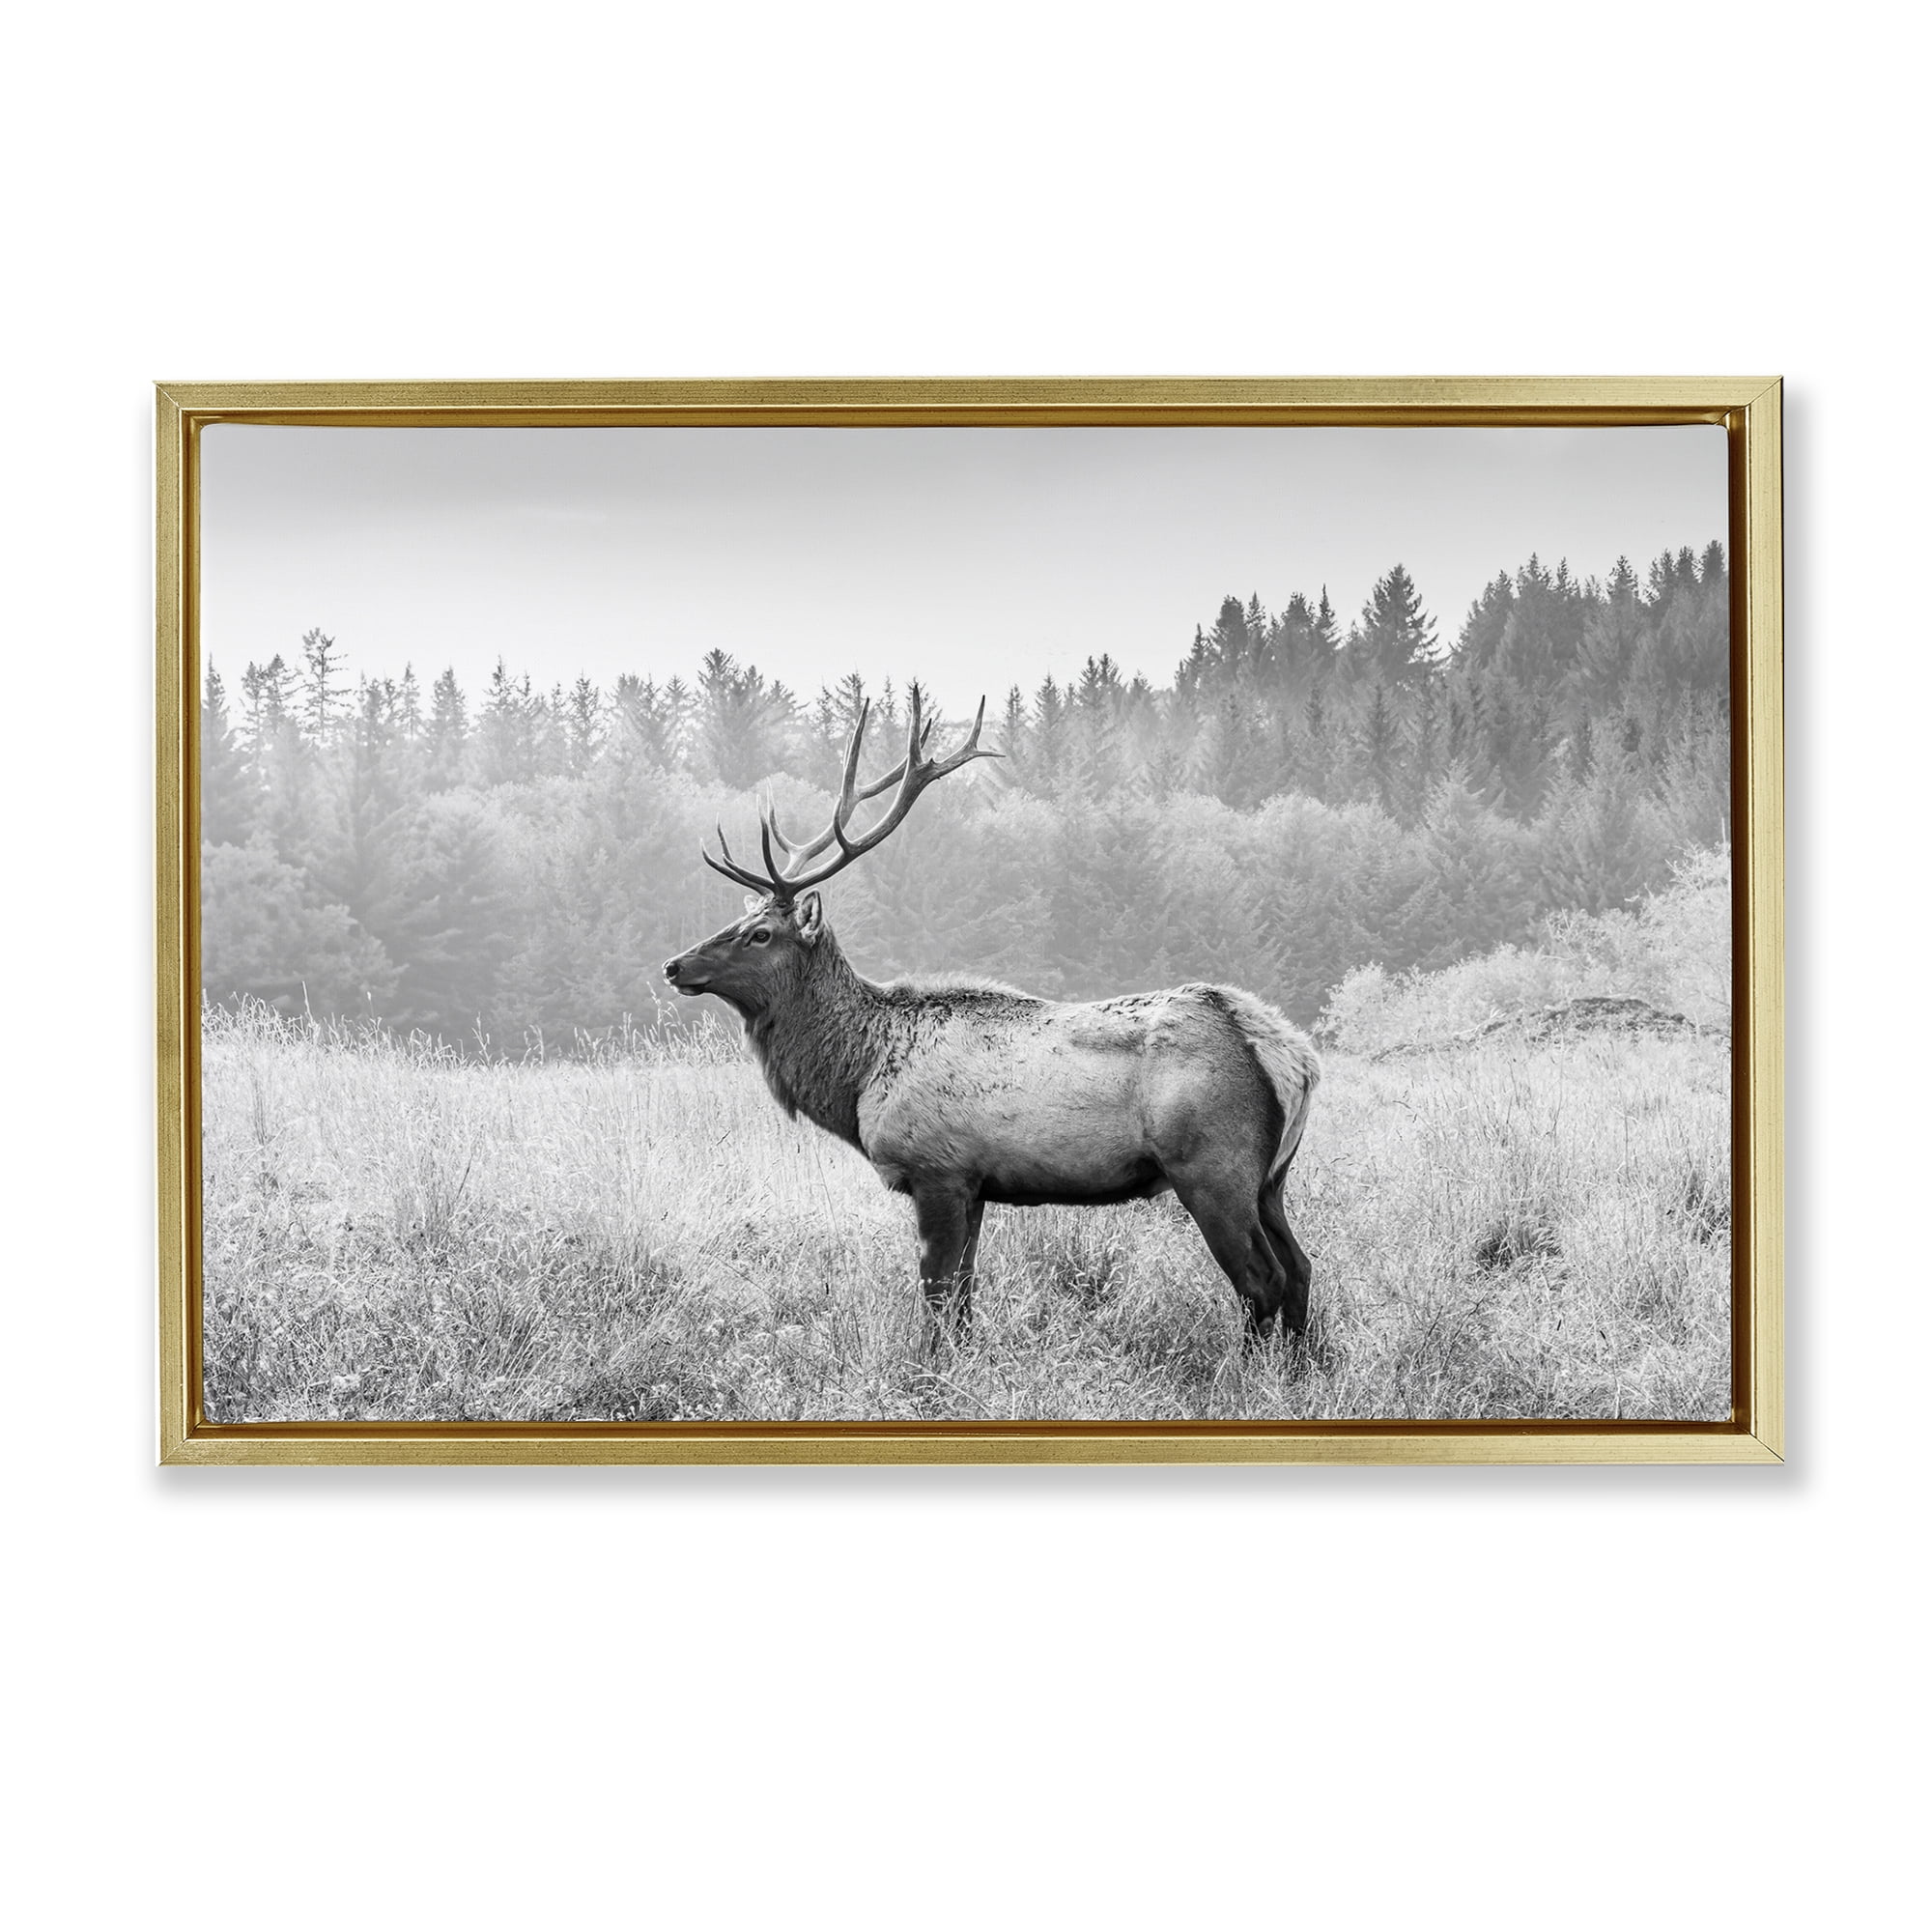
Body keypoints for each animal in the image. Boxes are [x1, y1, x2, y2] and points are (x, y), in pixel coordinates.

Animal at [662, 688, 1320, 1350]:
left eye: (760, 934)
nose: (674, 965)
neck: (860, 1077)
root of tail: (1292, 1057)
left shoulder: (938, 1170)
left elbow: (936, 1295)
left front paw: (930, 1367)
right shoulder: (975, 1184)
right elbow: (963, 1298)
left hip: (1213, 1166)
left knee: (1261, 1279)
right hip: (1270, 1179)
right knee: (1300, 1268)